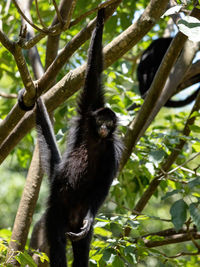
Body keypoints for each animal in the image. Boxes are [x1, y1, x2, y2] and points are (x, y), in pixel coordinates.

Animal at [18, 8, 122, 267]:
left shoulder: (111, 150)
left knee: (81, 246)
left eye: (109, 124)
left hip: (75, 219)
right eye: (101, 121)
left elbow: (104, 183)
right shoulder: (88, 114)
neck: (97, 139)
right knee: (57, 244)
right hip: (56, 211)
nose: (104, 127)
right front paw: (100, 19)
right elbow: (93, 77)